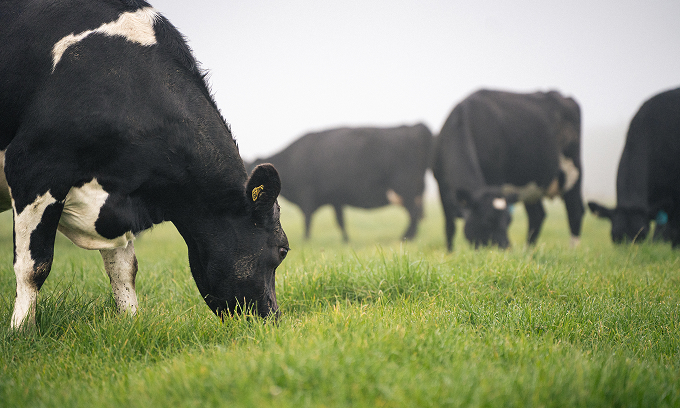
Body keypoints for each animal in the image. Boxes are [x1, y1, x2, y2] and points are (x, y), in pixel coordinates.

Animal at [0, 0, 289, 330]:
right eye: (283, 250)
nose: (273, 319)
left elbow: (124, 270)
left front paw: (130, 323)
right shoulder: (33, 167)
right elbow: (33, 266)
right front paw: (22, 330)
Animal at [249, 124, 433, 242]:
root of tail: (416, 127)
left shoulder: (307, 194)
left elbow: (307, 219)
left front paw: (306, 240)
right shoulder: (336, 199)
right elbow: (340, 221)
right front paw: (346, 240)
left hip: (405, 188)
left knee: (414, 213)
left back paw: (406, 237)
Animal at [432, 89, 584, 251]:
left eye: (509, 221)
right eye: (487, 220)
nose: (506, 249)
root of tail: (562, 96)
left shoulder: (496, 179)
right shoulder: (441, 185)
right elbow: (449, 226)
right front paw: (450, 252)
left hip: (573, 171)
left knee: (575, 211)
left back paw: (572, 251)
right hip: (532, 187)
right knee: (537, 215)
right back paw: (528, 251)